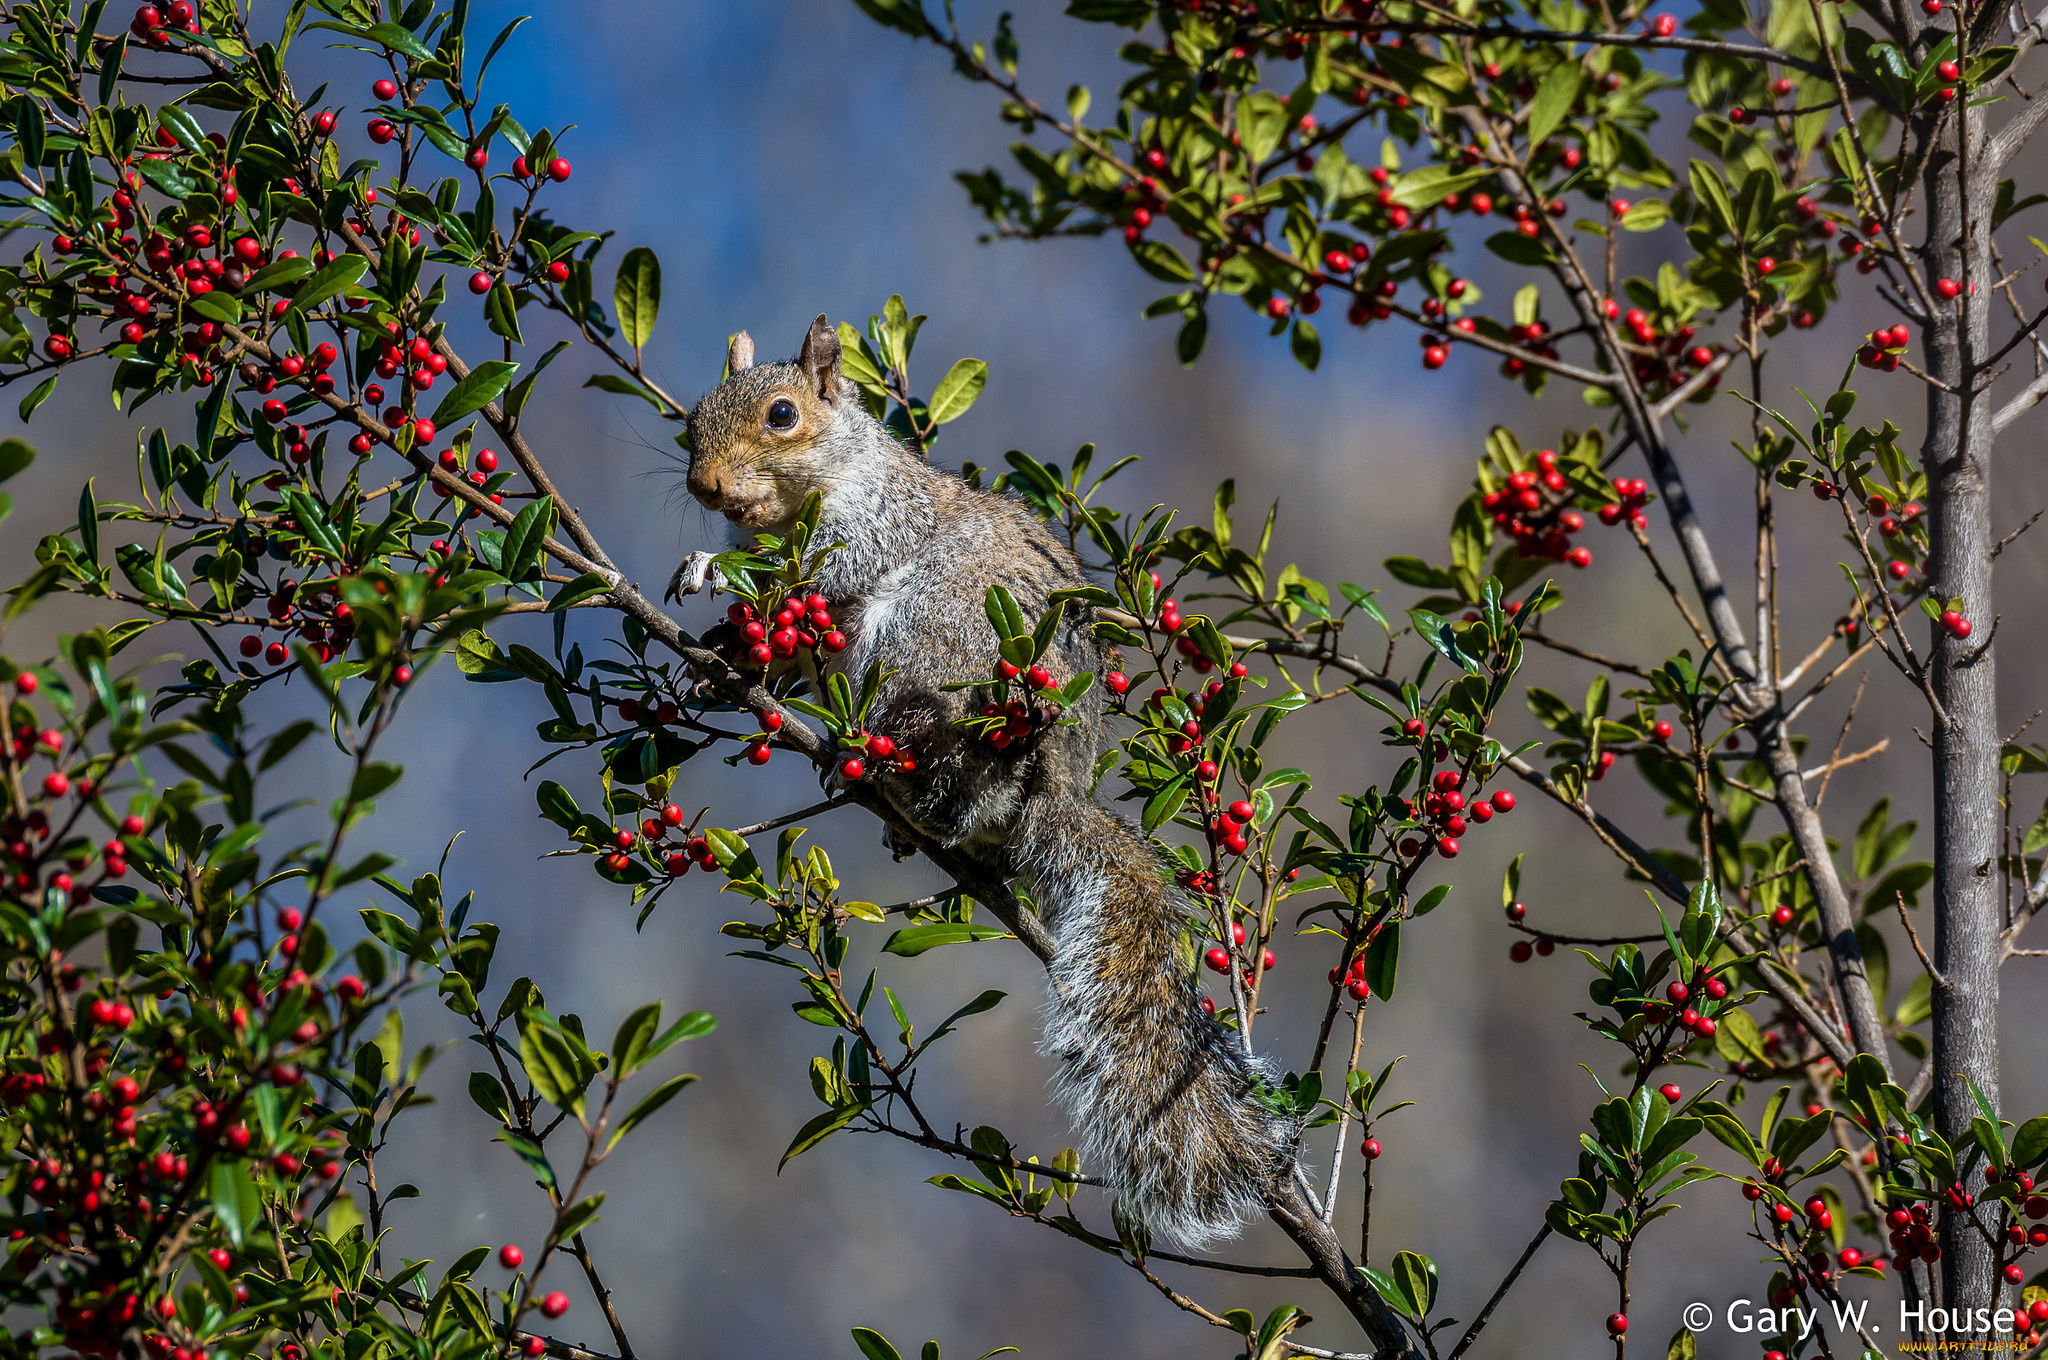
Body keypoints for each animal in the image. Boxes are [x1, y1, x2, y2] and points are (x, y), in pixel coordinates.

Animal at [671, 313, 1294, 1245]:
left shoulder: (879, 524)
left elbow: (826, 572)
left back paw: (895, 778)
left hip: (934, 642)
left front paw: (716, 572)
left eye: (782, 415)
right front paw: (722, 650)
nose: (707, 487)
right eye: (691, 421)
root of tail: (1053, 789)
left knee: (949, 775)